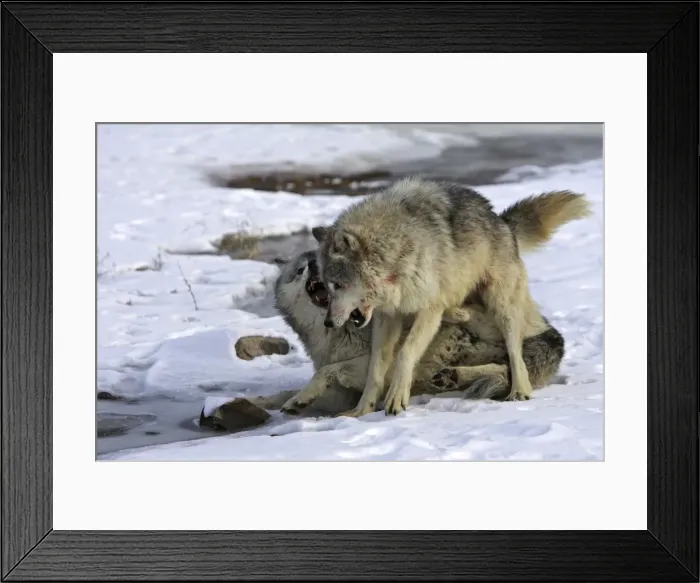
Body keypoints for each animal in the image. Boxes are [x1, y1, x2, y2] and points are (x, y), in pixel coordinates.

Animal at [312, 180, 590, 416]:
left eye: (338, 285)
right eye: (326, 286)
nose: (328, 322)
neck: (397, 251)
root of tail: (500, 220)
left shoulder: (428, 310)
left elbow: (405, 353)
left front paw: (396, 398)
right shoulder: (387, 317)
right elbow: (375, 368)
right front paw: (362, 410)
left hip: (501, 303)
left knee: (515, 352)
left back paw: (519, 391)